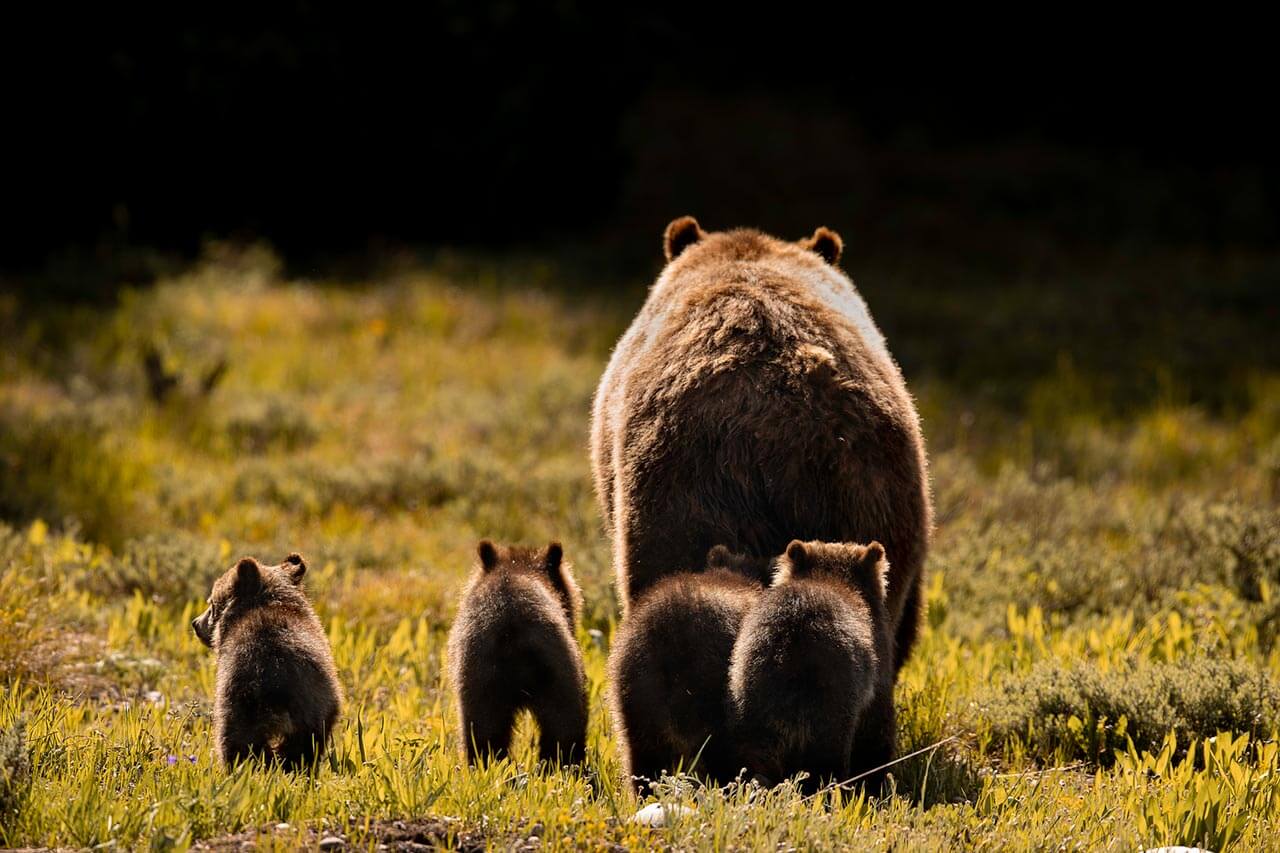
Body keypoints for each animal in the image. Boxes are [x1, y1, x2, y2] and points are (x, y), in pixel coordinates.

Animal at [192, 553, 342, 770]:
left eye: (211, 603)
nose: (195, 623)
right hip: (316, 707)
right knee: (303, 751)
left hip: (239, 703)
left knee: (235, 744)